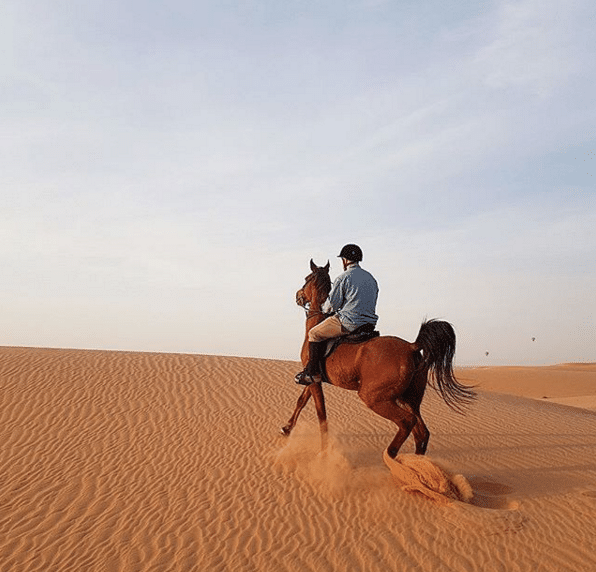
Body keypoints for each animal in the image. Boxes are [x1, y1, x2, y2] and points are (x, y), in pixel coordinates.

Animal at [282, 262, 478, 458]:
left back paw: (390, 456)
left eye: (307, 278)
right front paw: (286, 428)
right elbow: (301, 401)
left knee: (407, 422)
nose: (298, 296)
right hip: (407, 399)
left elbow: (321, 414)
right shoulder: (314, 378)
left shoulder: (314, 379)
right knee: (421, 432)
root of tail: (411, 347)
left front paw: (323, 451)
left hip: (374, 398)